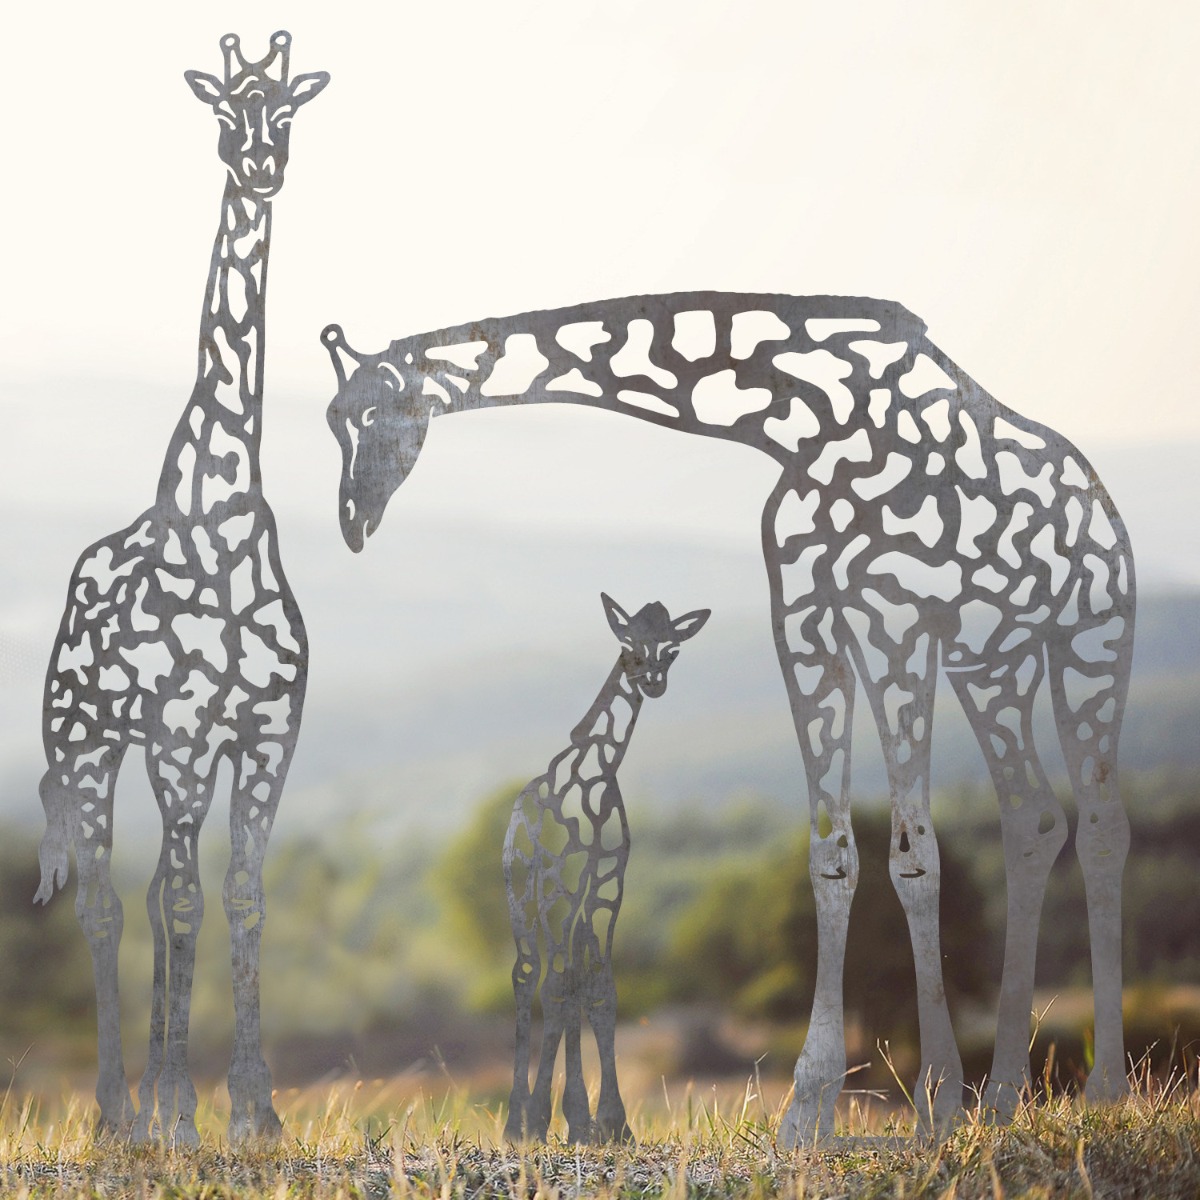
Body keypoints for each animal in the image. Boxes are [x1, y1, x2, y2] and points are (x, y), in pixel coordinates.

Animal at [35, 32, 327, 1144]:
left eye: (286, 112)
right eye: (222, 112)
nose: (260, 166)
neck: (222, 518)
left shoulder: (263, 735)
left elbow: (238, 898)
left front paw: (254, 1110)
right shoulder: (182, 737)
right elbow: (183, 902)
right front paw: (189, 1113)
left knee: (155, 894)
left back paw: (162, 1102)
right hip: (86, 743)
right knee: (106, 903)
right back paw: (124, 1110)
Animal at [503, 593, 710, 1144]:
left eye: (672, 646)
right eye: (628, 643)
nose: (651, 680)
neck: (599, 772)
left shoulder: (605, 887)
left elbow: (599, 989)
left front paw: (609, 1125)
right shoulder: (560, 888)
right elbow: (557, 989)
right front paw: (544, 1120)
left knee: (566, 979)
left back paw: (567, 1120)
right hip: (525, 904)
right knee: (529, 977)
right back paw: (517, 1123)